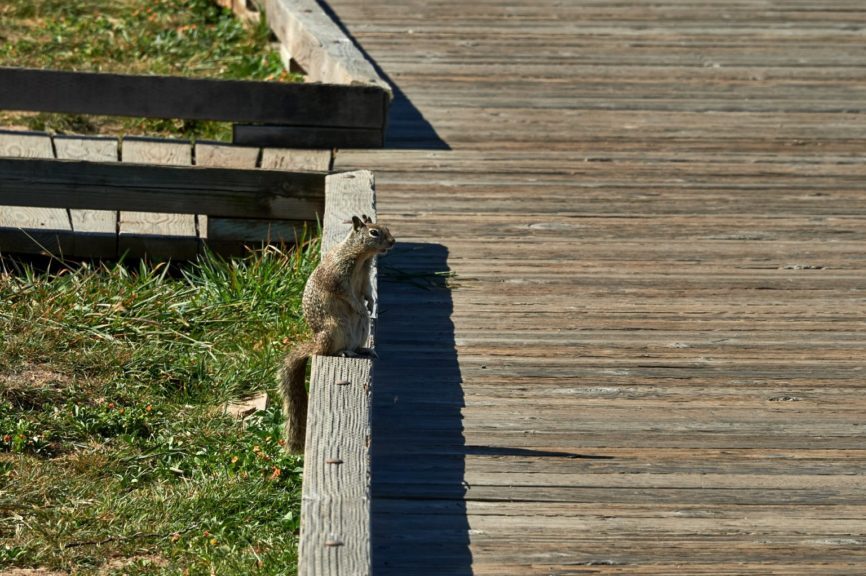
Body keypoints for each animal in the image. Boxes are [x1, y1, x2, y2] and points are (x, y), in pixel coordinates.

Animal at [279, 214, 395, 452]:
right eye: (374, 233)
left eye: (386, 228)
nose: (393, 241)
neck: (361, 257)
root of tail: (317, 342)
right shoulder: (337, 277)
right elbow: (347, 294)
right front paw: (359, 306)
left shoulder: (365, 277)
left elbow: (367, 290)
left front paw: (370, 303)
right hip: (335, 328)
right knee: (328, 351)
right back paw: (343, 352)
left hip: (361, 328)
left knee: (358, 336)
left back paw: (363, 349)